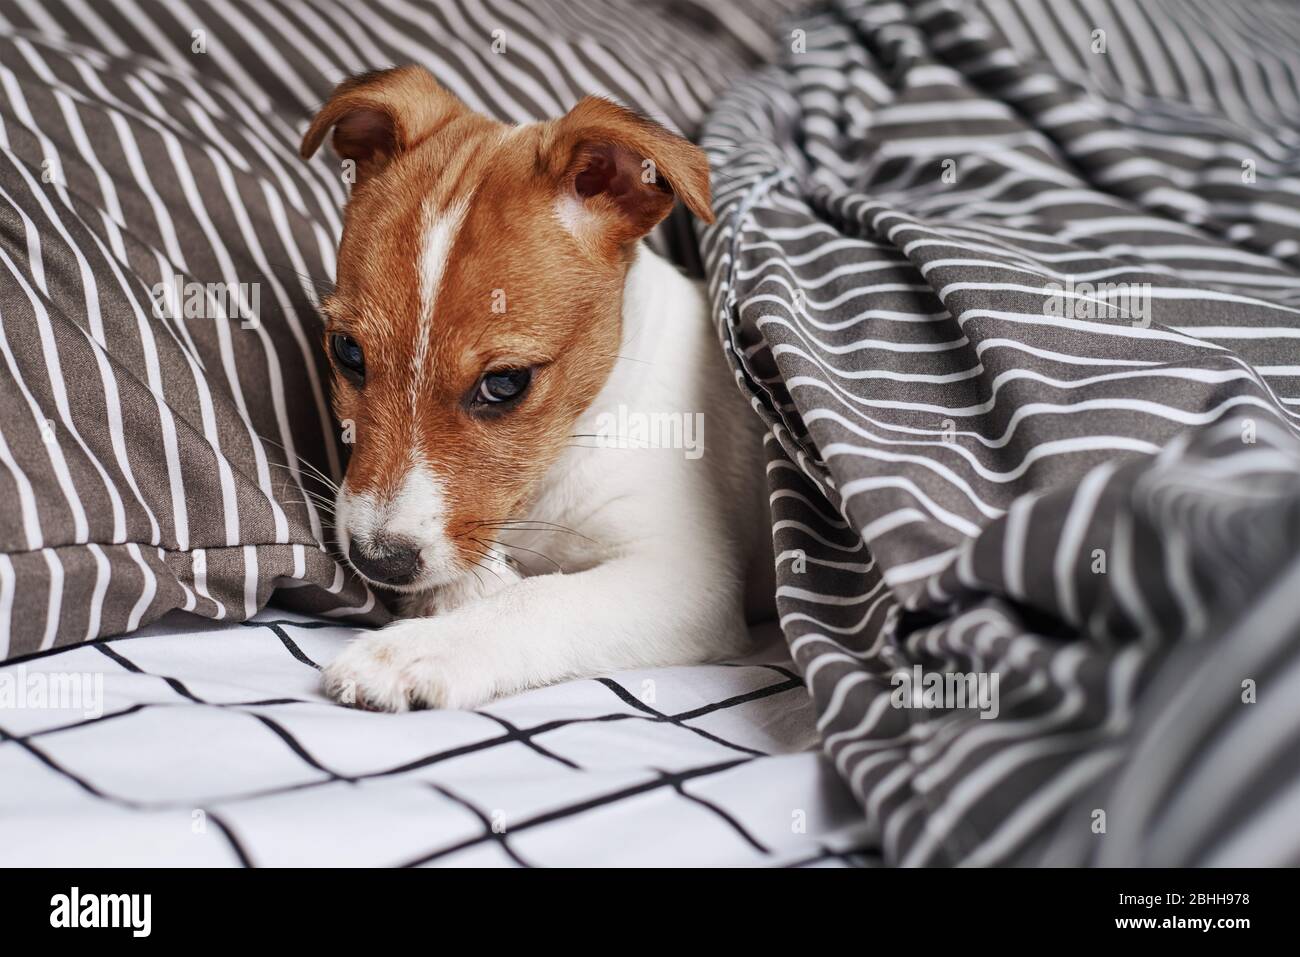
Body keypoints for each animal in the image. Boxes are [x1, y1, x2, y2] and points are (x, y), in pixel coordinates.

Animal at [301, 65, 769, 712]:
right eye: (348, 352)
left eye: (505, 383)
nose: (380, 561)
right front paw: (462, 592)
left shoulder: (686, 577)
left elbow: (543, 599)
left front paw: (416, 650)